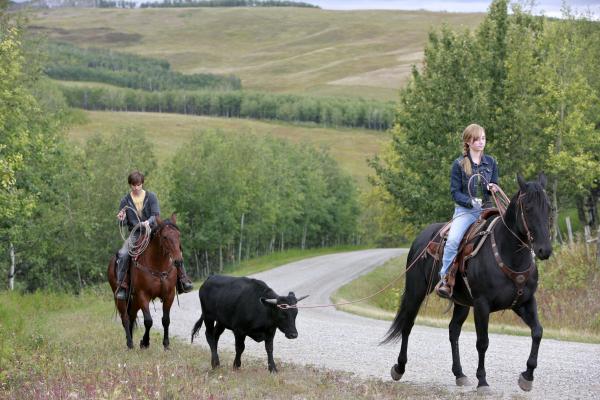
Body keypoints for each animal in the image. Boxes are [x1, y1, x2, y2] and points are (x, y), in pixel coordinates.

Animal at [108, 214, 183, 348]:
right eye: (165, 237)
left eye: (178, 235)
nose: (178, 261)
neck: (158, 265)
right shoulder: (143, 295)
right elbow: (148, 321)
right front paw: (145, 342)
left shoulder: (169, 295)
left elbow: (166, 320)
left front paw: (166, 344)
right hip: (121, 299)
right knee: (125, 318)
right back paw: (129, 343)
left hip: (135, 300)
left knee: (131, 316)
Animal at [384, 173, 552, 392]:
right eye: (528, 207)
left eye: (549, 207)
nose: (544, 249)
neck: (508, 255)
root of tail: (421, 237)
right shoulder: (482, 304)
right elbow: (482, 342)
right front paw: (482, 381)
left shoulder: (524, 302)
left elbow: (537, 332)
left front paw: (527, 376)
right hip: (416, 291)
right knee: (408, 325)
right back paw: (399, 368)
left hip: (461, 302)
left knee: (453, 330)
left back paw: (459, 374)